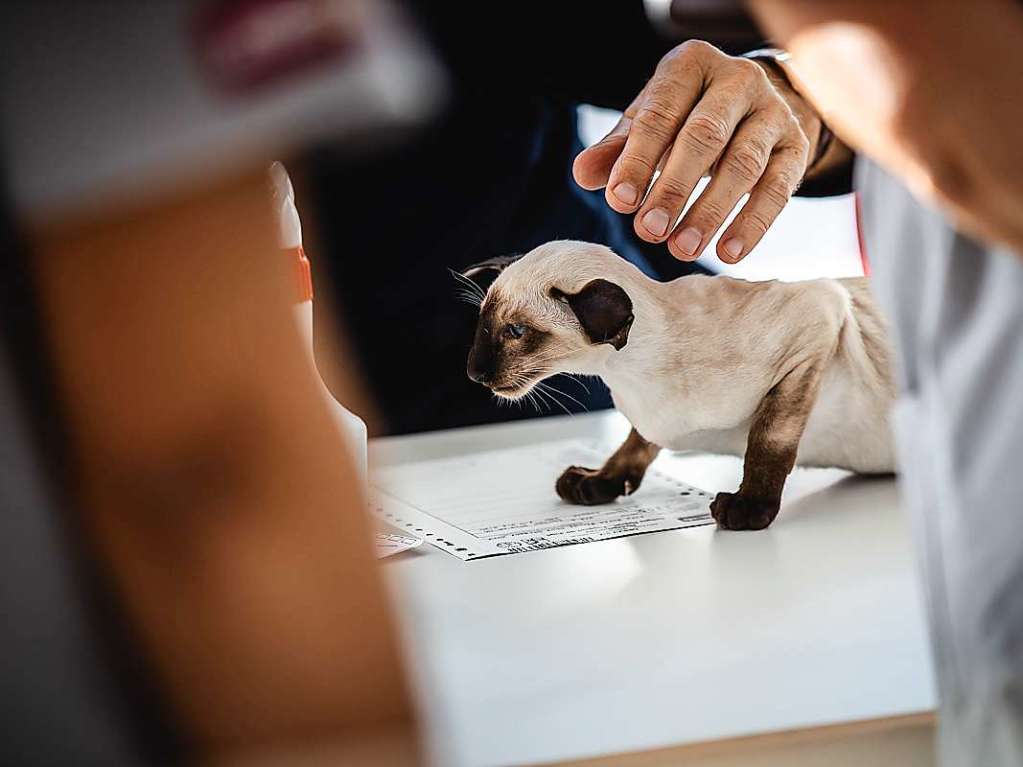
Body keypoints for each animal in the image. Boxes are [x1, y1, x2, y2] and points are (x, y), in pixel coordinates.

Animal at [464, 243, 896, 531]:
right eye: (482, 323)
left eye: (516, 332)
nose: (473, 374)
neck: (629, 376)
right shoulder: (649, 424)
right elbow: (632, 446)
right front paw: (597, 482)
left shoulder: (815, 325)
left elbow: (768, 444)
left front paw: (749, 508)